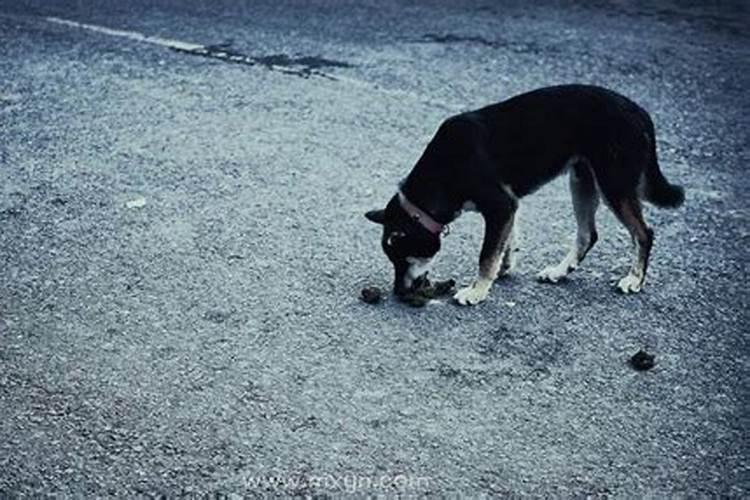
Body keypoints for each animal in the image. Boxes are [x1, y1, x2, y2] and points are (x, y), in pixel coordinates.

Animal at [368, 85, 684, 304]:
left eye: (403, 259)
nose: (397, 293)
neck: (444, 169)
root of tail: (639, 112)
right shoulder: (509, 205)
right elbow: (506, 242)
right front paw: (502, 268)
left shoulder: (500, 205)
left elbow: (486, 253)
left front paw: (477, 290)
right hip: (582, 180)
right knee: (587, 235)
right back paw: (559, 271)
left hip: (613, 185)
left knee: (643, 233)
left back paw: (634, 279)